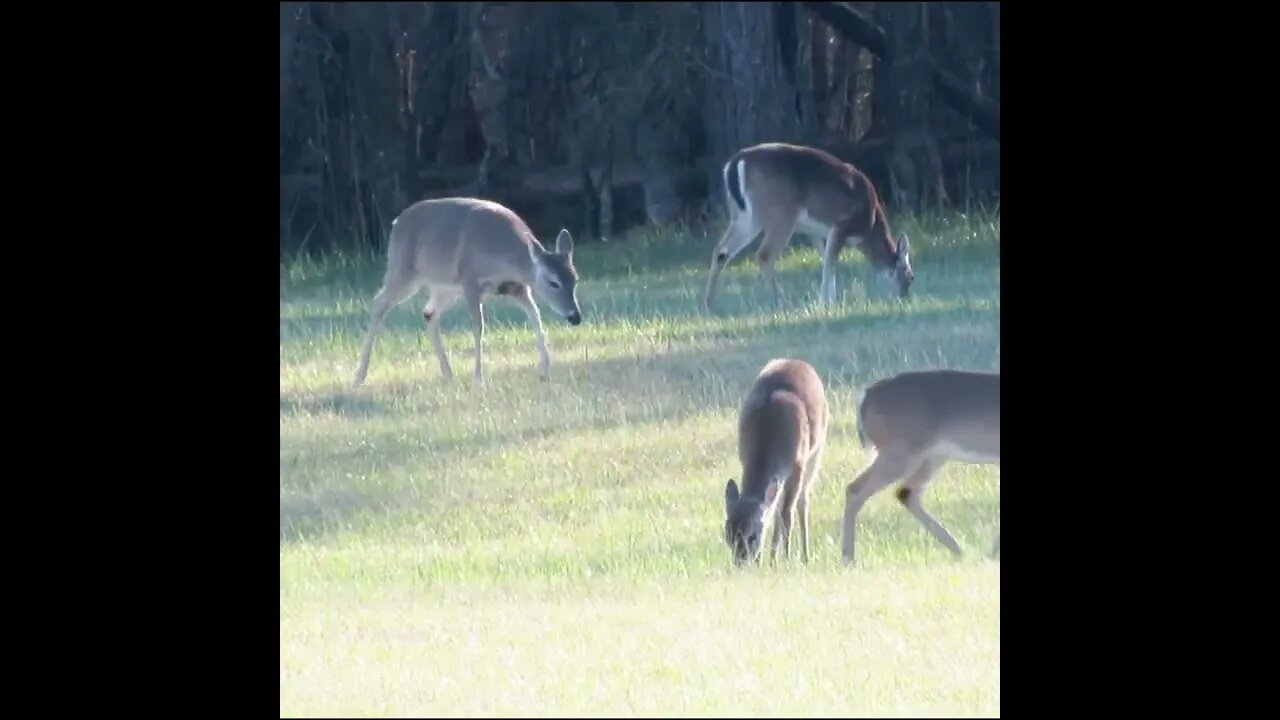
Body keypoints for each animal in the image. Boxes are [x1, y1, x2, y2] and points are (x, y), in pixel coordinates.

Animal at [355, 194, 586, 386]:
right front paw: (478, 378)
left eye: (575, 279)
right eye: (553, 282)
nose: (575, 317)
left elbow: (536, 317)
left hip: (445, 288)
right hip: (403, 269)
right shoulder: (470, 282)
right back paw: (359, 376)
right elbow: (479, 327)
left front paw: (544, 369)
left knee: (429, 313)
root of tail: (396, 222)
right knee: (379, 303)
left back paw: (448, 373)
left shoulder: (518, 288)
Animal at [706, 140, 916, 311]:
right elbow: (829, 265)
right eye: (910, 276)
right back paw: (783, 303)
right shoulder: (841, 226)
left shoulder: (815, 232)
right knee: (764, 255)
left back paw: (709, 306)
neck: (869, 227)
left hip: (744, 217)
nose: (903, 299)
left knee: (720, 251)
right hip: (779, 215)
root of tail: (735, 163)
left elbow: (827, 262)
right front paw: (825, 303)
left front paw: (833, 300)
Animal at [721, 356, 829, 563]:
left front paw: (786, 558)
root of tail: (797, 361)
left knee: (803, 501)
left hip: (817, 450)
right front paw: (770, 560)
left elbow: (787, 514)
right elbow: (775, 510)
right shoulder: (745, 458)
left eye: (753, 536)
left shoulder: (797, 464)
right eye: (727, 537)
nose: (740, 563)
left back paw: (805, 555)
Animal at [839, 368, 998, 566]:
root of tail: (865, 396)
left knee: (906, 493)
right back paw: (848, 559)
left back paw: (961, 550)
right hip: (901, 451)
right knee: (856, 489)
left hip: (931, 456)